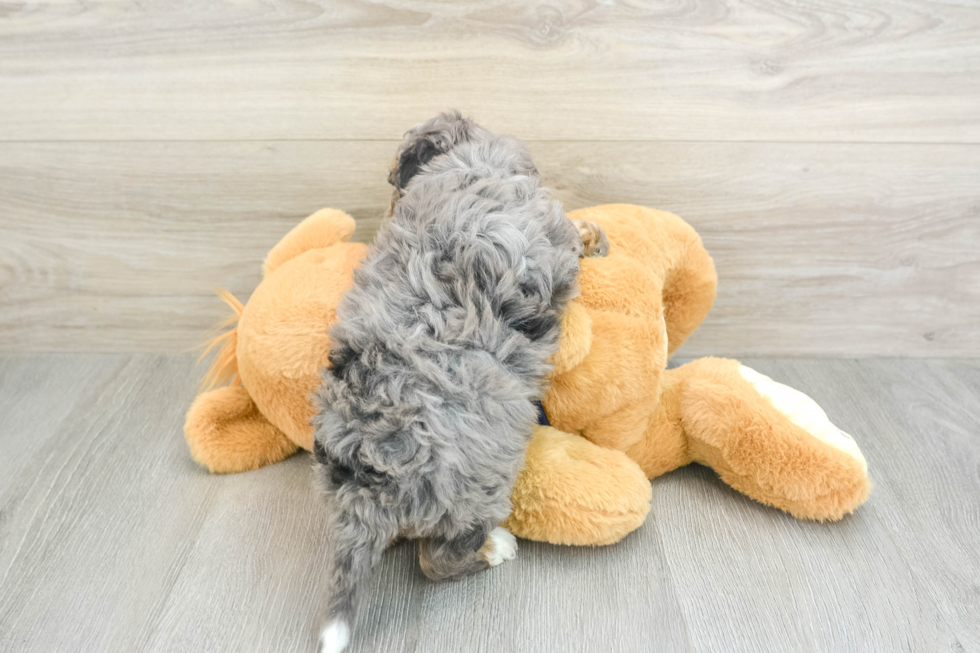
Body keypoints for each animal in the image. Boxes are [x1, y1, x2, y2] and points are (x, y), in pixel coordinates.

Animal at [314, 112, 600, 652]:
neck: (469, 158)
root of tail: (370, 480)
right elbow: (572, 233)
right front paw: (592, 232)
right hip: (479, 489)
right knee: (436, 559)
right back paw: (496, 548)